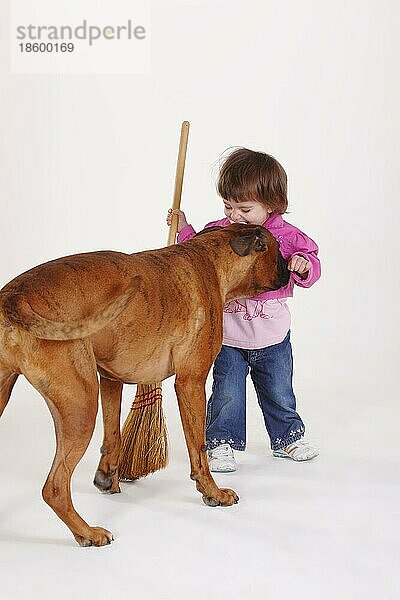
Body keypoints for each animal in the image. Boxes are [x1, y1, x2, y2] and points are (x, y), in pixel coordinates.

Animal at [0, 223, 288, 548]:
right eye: (278, 250)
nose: (290, 269)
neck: (210, 260)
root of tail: (13, 296)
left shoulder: (110, 381)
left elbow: (113, 435)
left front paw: (108, 477)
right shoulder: (191, 382)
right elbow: (199, 447)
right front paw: (212, 492)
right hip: (81, 407)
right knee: (55, 487)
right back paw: (88, 533)